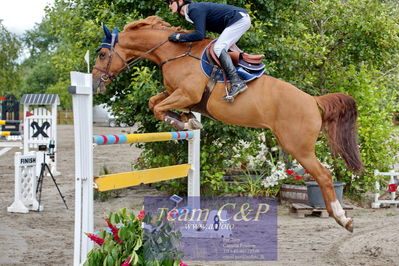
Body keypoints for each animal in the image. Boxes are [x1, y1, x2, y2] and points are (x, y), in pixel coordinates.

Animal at [92, 15, 364, 232]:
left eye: (103, 54)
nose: (95, 84)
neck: (173, 54)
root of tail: (312, 100)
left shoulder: (187, 94)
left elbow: (159, 108)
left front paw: (185, 123)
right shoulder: (175, 93)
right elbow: (154, 102)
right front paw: (188, 120)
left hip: (298, 147)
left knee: (324, 176)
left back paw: (343, 219)